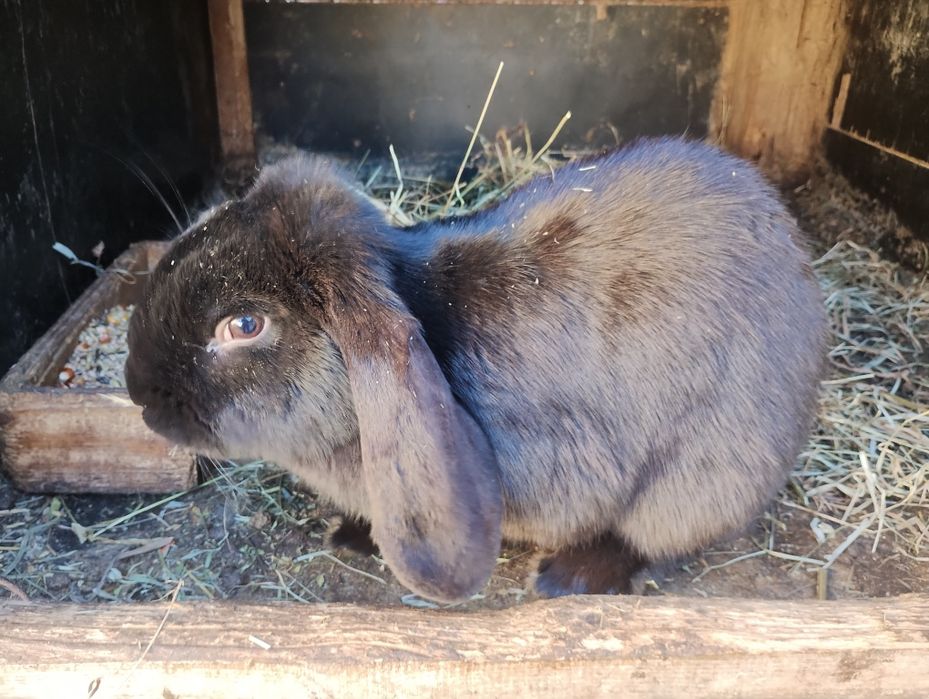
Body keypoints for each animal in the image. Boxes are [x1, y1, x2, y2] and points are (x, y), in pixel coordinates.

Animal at [125, 138, 828, 603]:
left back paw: (564, 578)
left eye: (245, 325)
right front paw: (349, 533)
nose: (137, 389)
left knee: (652, 538)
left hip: (701, 476)